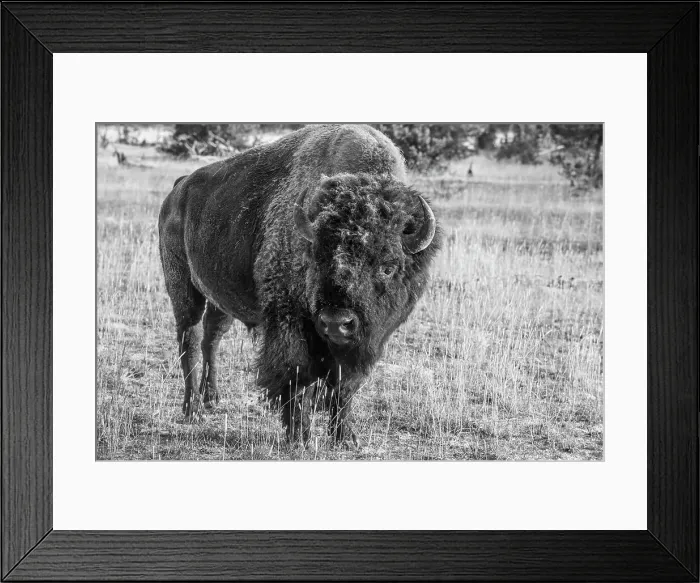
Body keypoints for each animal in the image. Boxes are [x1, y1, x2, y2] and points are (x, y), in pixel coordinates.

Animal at [158, 124, 440, 447]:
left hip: (220, 300)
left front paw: (345, 437)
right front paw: (299, 436)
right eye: (316, 258)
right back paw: (192, 411)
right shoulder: (290, 323)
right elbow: (297, 376)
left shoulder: (360, 342)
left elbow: (345, 385)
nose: (336, 322)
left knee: (211, 339)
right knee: (190, 341)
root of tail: (178, 189)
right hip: (182, 288)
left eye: (388, 266)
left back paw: (212, 399)